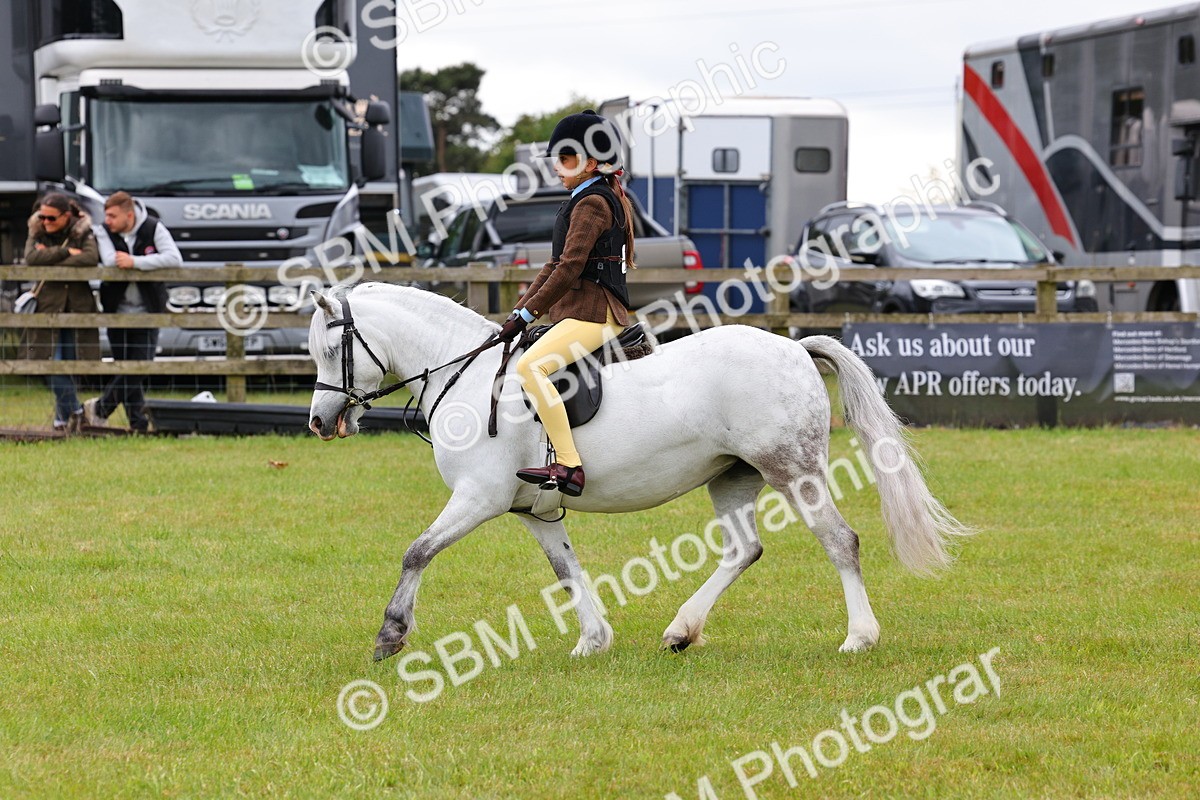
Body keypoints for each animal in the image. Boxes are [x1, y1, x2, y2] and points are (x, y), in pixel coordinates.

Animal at [306, 282, 971, 661]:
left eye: (331, 350)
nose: (318, 421)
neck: (465, 375)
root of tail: (793, 346)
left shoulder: (479, 497)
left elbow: (417, 552)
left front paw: (391, 636)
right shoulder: (533, 510)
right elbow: (567, 571)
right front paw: (592, 640)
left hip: (792, 470)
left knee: (839, 540)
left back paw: (859, 637)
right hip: (731, 477)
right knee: (744, 549)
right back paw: (681, 631)